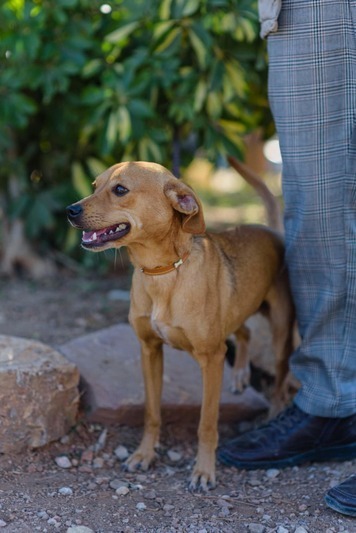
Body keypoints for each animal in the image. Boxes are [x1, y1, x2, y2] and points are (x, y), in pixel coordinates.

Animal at [67, 162, 294, 490]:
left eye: (120, 189)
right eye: (95, 185)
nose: (69, 210)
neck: (162, 273)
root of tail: (272, 231)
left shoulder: (211, 359)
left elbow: (207, 423)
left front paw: (203, 471)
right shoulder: (149, 350)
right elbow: (151, 413)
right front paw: (144, 455)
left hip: (279, 333)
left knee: (280, 376)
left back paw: (275, 412)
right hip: (236, 310)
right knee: (245, 331)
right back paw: (240, 374)